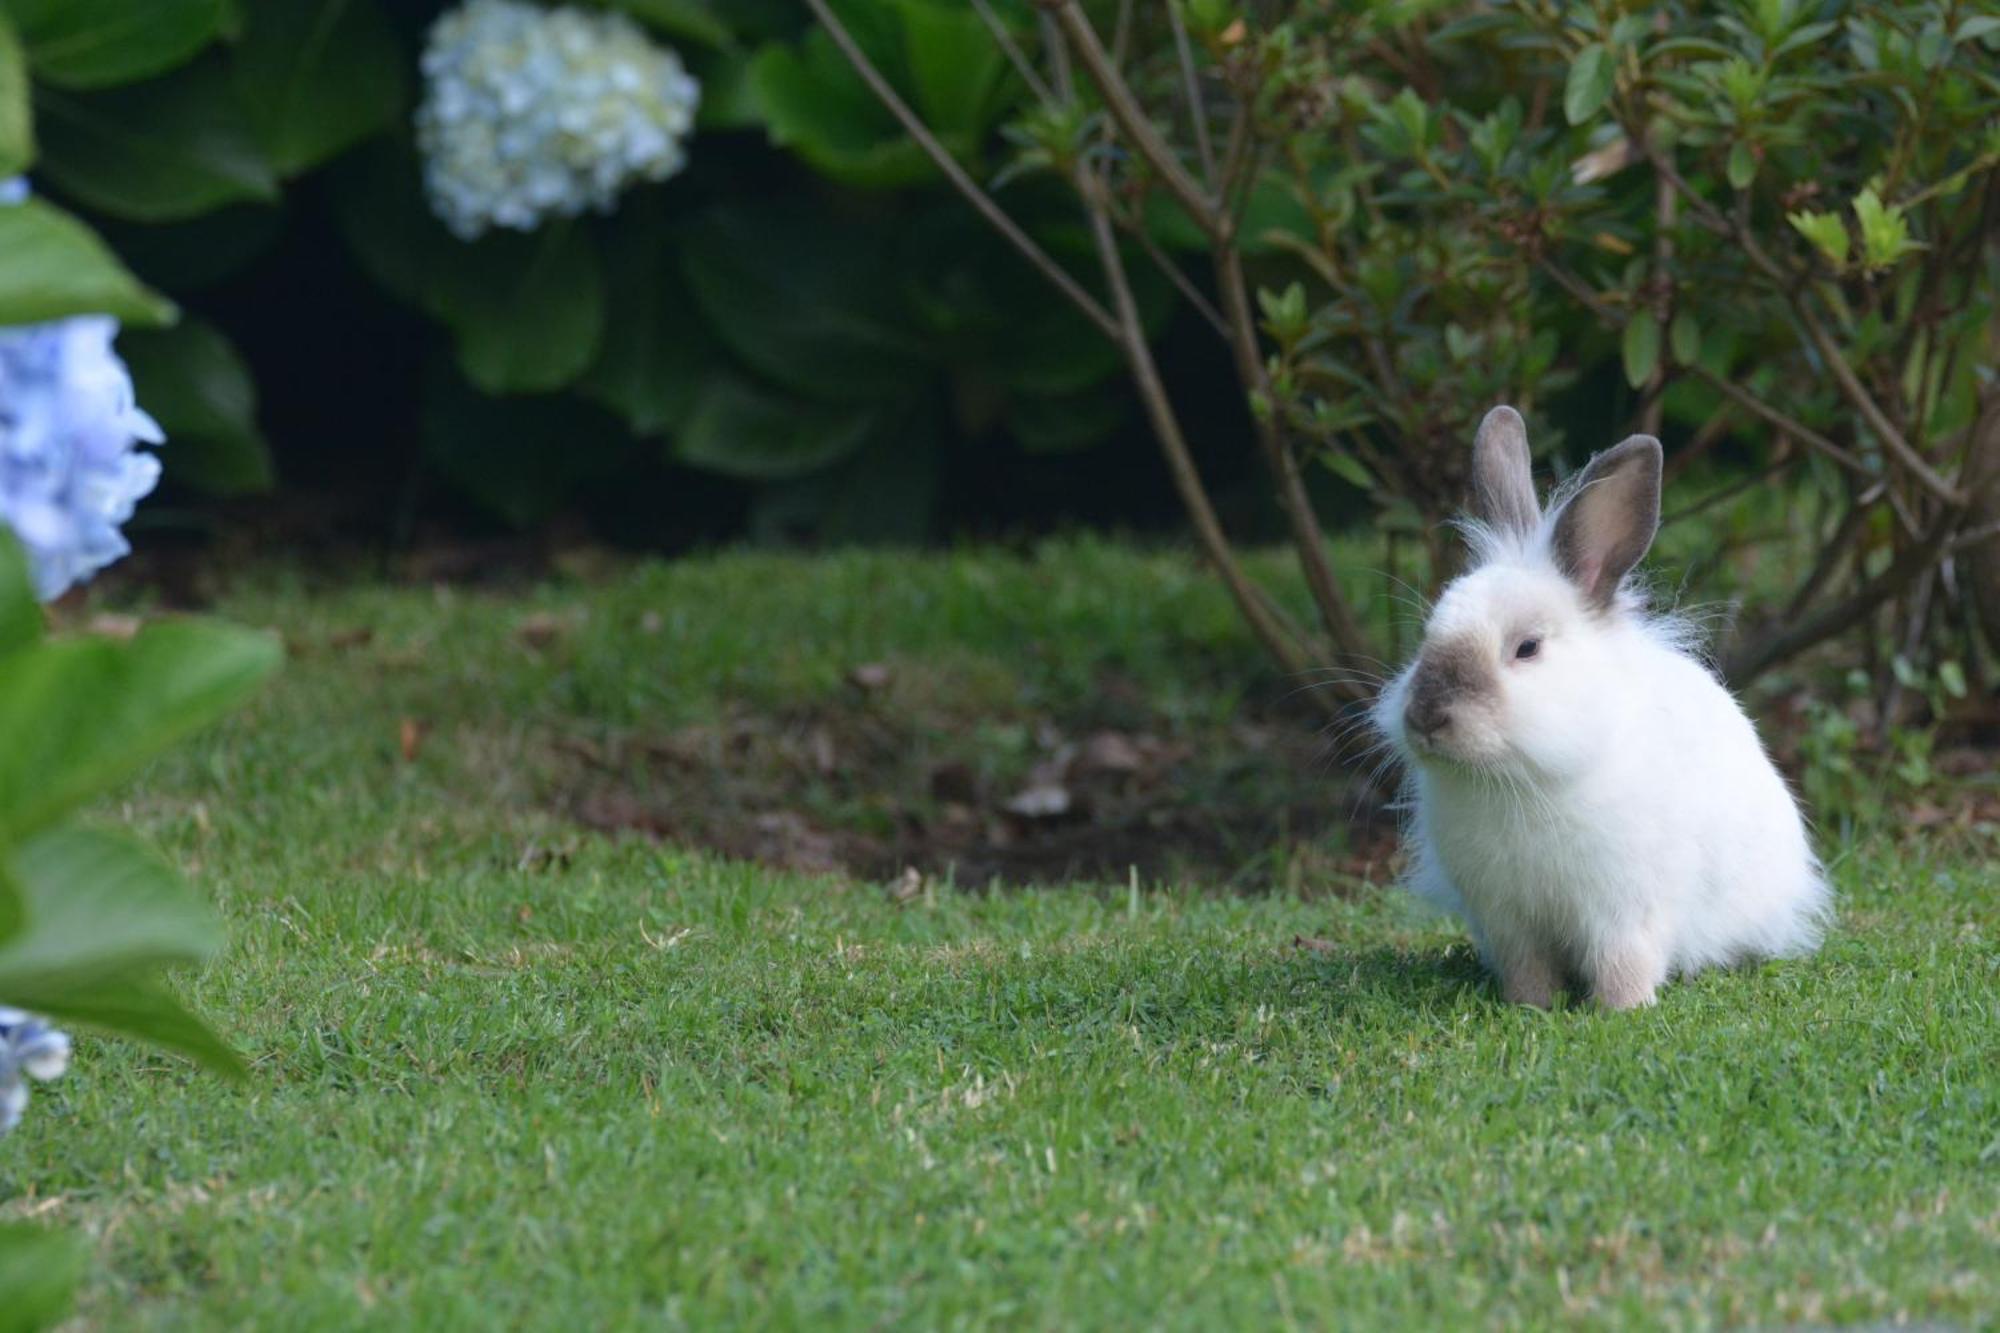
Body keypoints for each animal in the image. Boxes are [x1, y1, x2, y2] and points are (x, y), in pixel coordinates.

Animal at [1376, 404, 1832, 1008]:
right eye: (1428, 634)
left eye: (1527, 648)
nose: (1426, 716)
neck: (1522, 781)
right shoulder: (1507, 921)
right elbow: (1527, 970)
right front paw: (1531, 1008)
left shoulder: (1626, 910)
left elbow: (1623, 964)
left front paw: (1623, 1011)